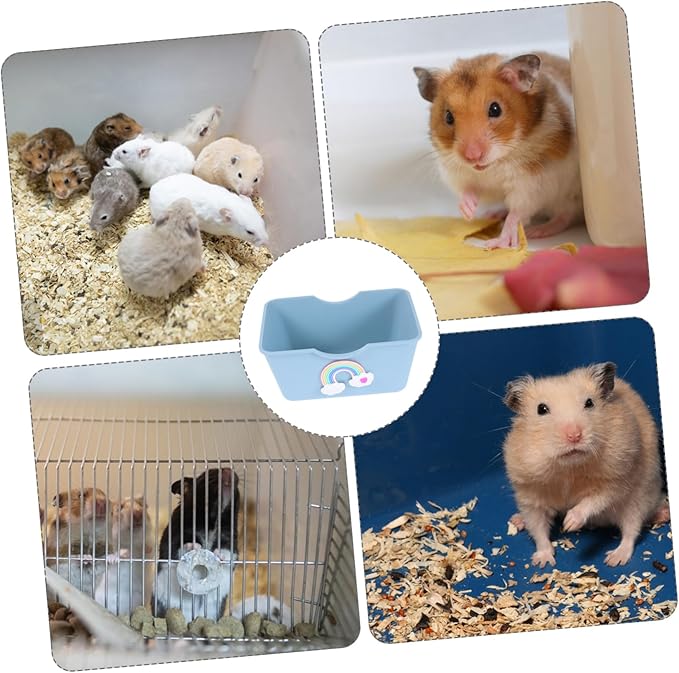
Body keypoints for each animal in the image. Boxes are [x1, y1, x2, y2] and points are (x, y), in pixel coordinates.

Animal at [153, 468, 240, 621]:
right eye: (209, 472)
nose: (228, 470)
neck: (213, 521)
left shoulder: (231, 541)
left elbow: (228, 554)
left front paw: (218, 555)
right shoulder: (175, 537)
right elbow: (182, 547)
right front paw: (196, 548)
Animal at [414, 52, 583, 249]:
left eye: (495, 109)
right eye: (448, 117)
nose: (473, 156)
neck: (496, 164)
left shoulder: (531, 183)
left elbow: (517, 213)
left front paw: (495, 243)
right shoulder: (459, 173)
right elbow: (468, 190)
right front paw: (468, 212)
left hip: (570, 196)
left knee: (565, 215)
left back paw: (538, 231)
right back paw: (493, 214)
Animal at [502, 362, 667, 568]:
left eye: (589, 403)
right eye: (541, 409)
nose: (574, 436)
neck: (568, 468)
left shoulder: (618, 478)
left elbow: (595, 499)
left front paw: (569, 524)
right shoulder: (530, 494)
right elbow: (538, 528)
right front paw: (543, 561)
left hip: (639, 500)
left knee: (631, 530)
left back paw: (615, 558)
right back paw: (517, 521)